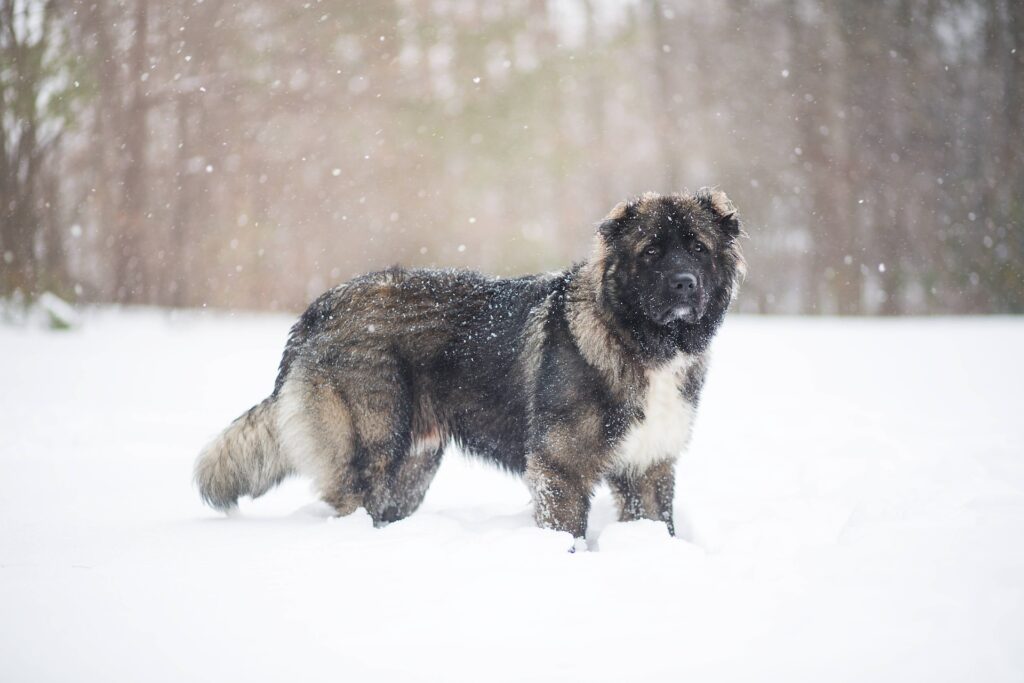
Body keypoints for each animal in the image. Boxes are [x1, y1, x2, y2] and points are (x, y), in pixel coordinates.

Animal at [195, 189, 749, 540]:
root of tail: (318, 309)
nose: (684, 284)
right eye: (651, 251)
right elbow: (567, 532)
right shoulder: (561, 469)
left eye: (697, 248)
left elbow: (660, 526)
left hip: (413, 468)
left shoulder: (649, 467)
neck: (637, 339)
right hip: (371, 450)